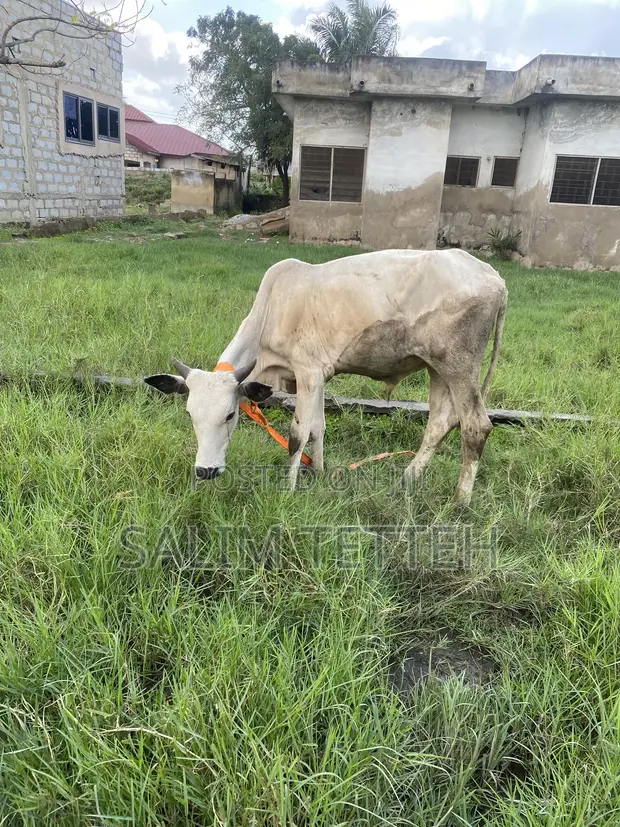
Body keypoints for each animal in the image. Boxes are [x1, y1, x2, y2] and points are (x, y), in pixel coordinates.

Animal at [144, 248, 507, 505]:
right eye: (190, 415)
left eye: (230, 415)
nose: (206, 470)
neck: (272, 310)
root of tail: (494, 277)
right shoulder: (319, 376)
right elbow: (317, 427)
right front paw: (317, 472)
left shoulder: (307, 371)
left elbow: (297, 434)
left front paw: (287, 490)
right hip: (437, 368)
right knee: (440, 422)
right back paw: (408, 478)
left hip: (459, 366)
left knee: (475, 426)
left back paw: (460, 502)